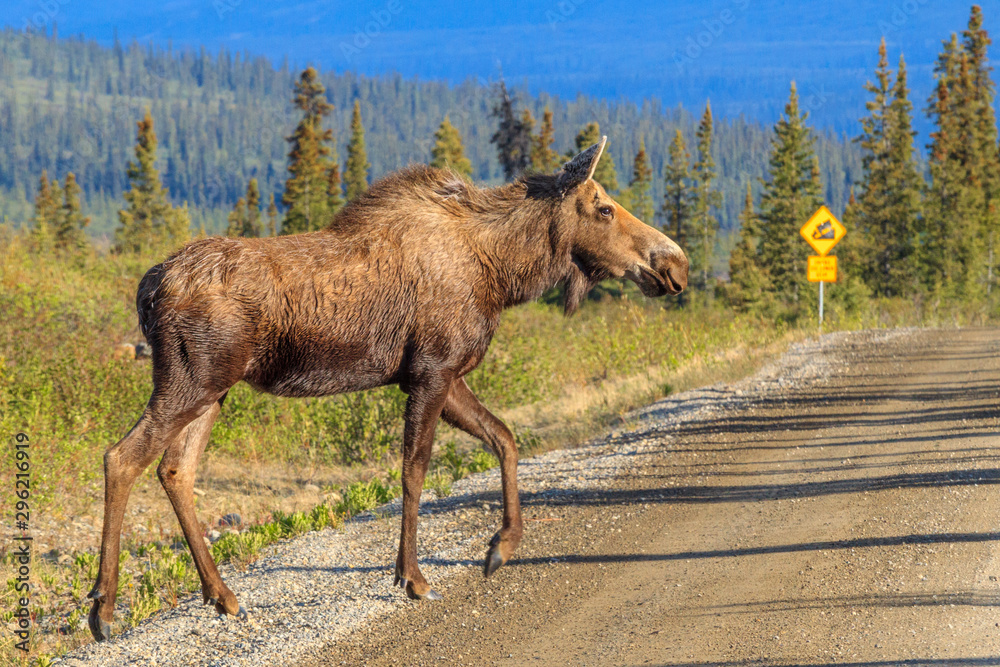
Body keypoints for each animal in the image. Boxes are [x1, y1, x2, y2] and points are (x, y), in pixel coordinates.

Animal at [87, 138, 688, 641]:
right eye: (604, 207)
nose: (675, 264)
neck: (502, 273)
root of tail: (147, 290)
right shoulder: (431, 370)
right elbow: (414, 470)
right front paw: (412, 577)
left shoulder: (444, 374)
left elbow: (505, 438)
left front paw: (501, 547)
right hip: (191, 380)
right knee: (121, 457)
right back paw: (104, 609)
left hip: (213, 391)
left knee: (175, 470)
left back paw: (222, 595)